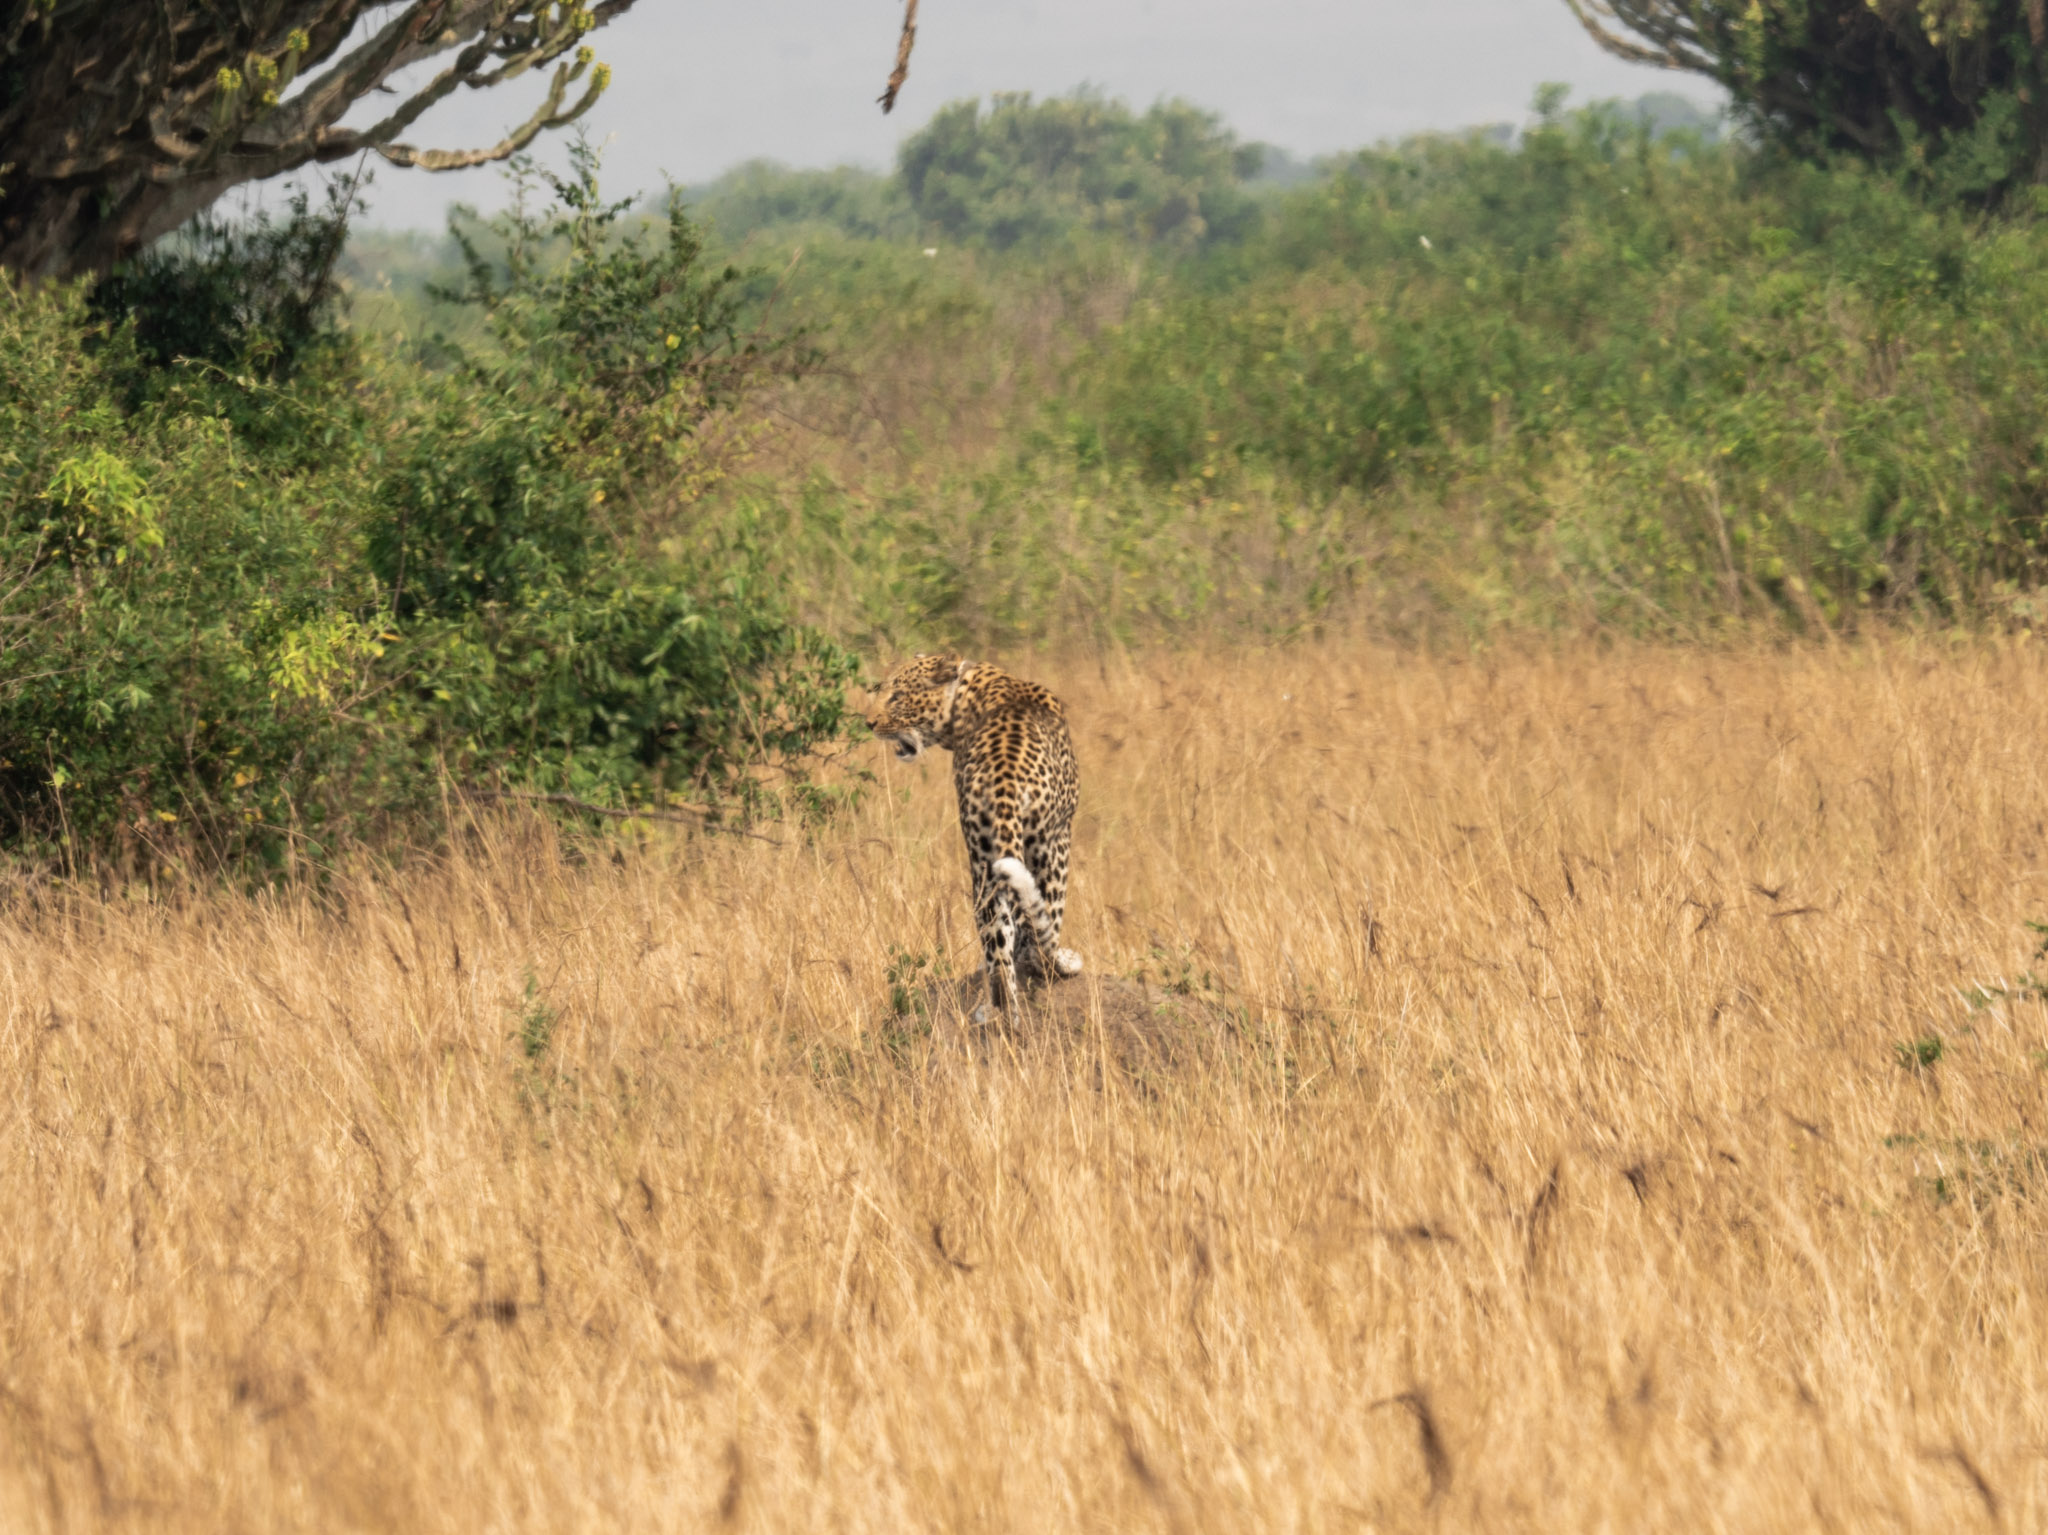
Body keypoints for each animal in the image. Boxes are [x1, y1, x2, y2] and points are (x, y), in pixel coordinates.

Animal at [868, 654, 1089, 1015]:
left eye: (897, 696)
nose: (868, 723)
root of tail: (1004, 783)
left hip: (985, 859)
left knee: (998, 946)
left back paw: (999, 1012)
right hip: (1050, 844)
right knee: (1044, 924)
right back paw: (1056, 966)